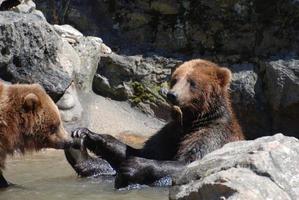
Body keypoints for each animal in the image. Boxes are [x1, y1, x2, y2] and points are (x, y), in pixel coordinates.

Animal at [65, 58, 244, 188]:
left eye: (192, 82)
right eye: (176, 79)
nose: (172, 95)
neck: (192, 120)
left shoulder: (211, 134)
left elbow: (189, 162)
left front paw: (135, 165)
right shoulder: (171, 132)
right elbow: (145, 151)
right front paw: (86, 133)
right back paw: (78, 150)